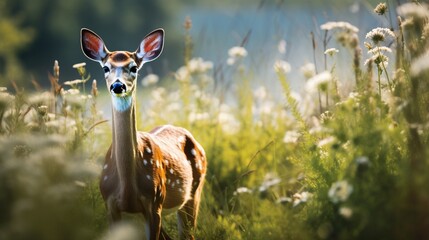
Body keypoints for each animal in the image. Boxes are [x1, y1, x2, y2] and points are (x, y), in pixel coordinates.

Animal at [80, 27, 207, 239]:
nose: (118, 86)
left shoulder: (155, 202)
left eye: (134, 68)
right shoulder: (110, 204)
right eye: (106, 68)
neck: (127, 186)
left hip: (194, 192)